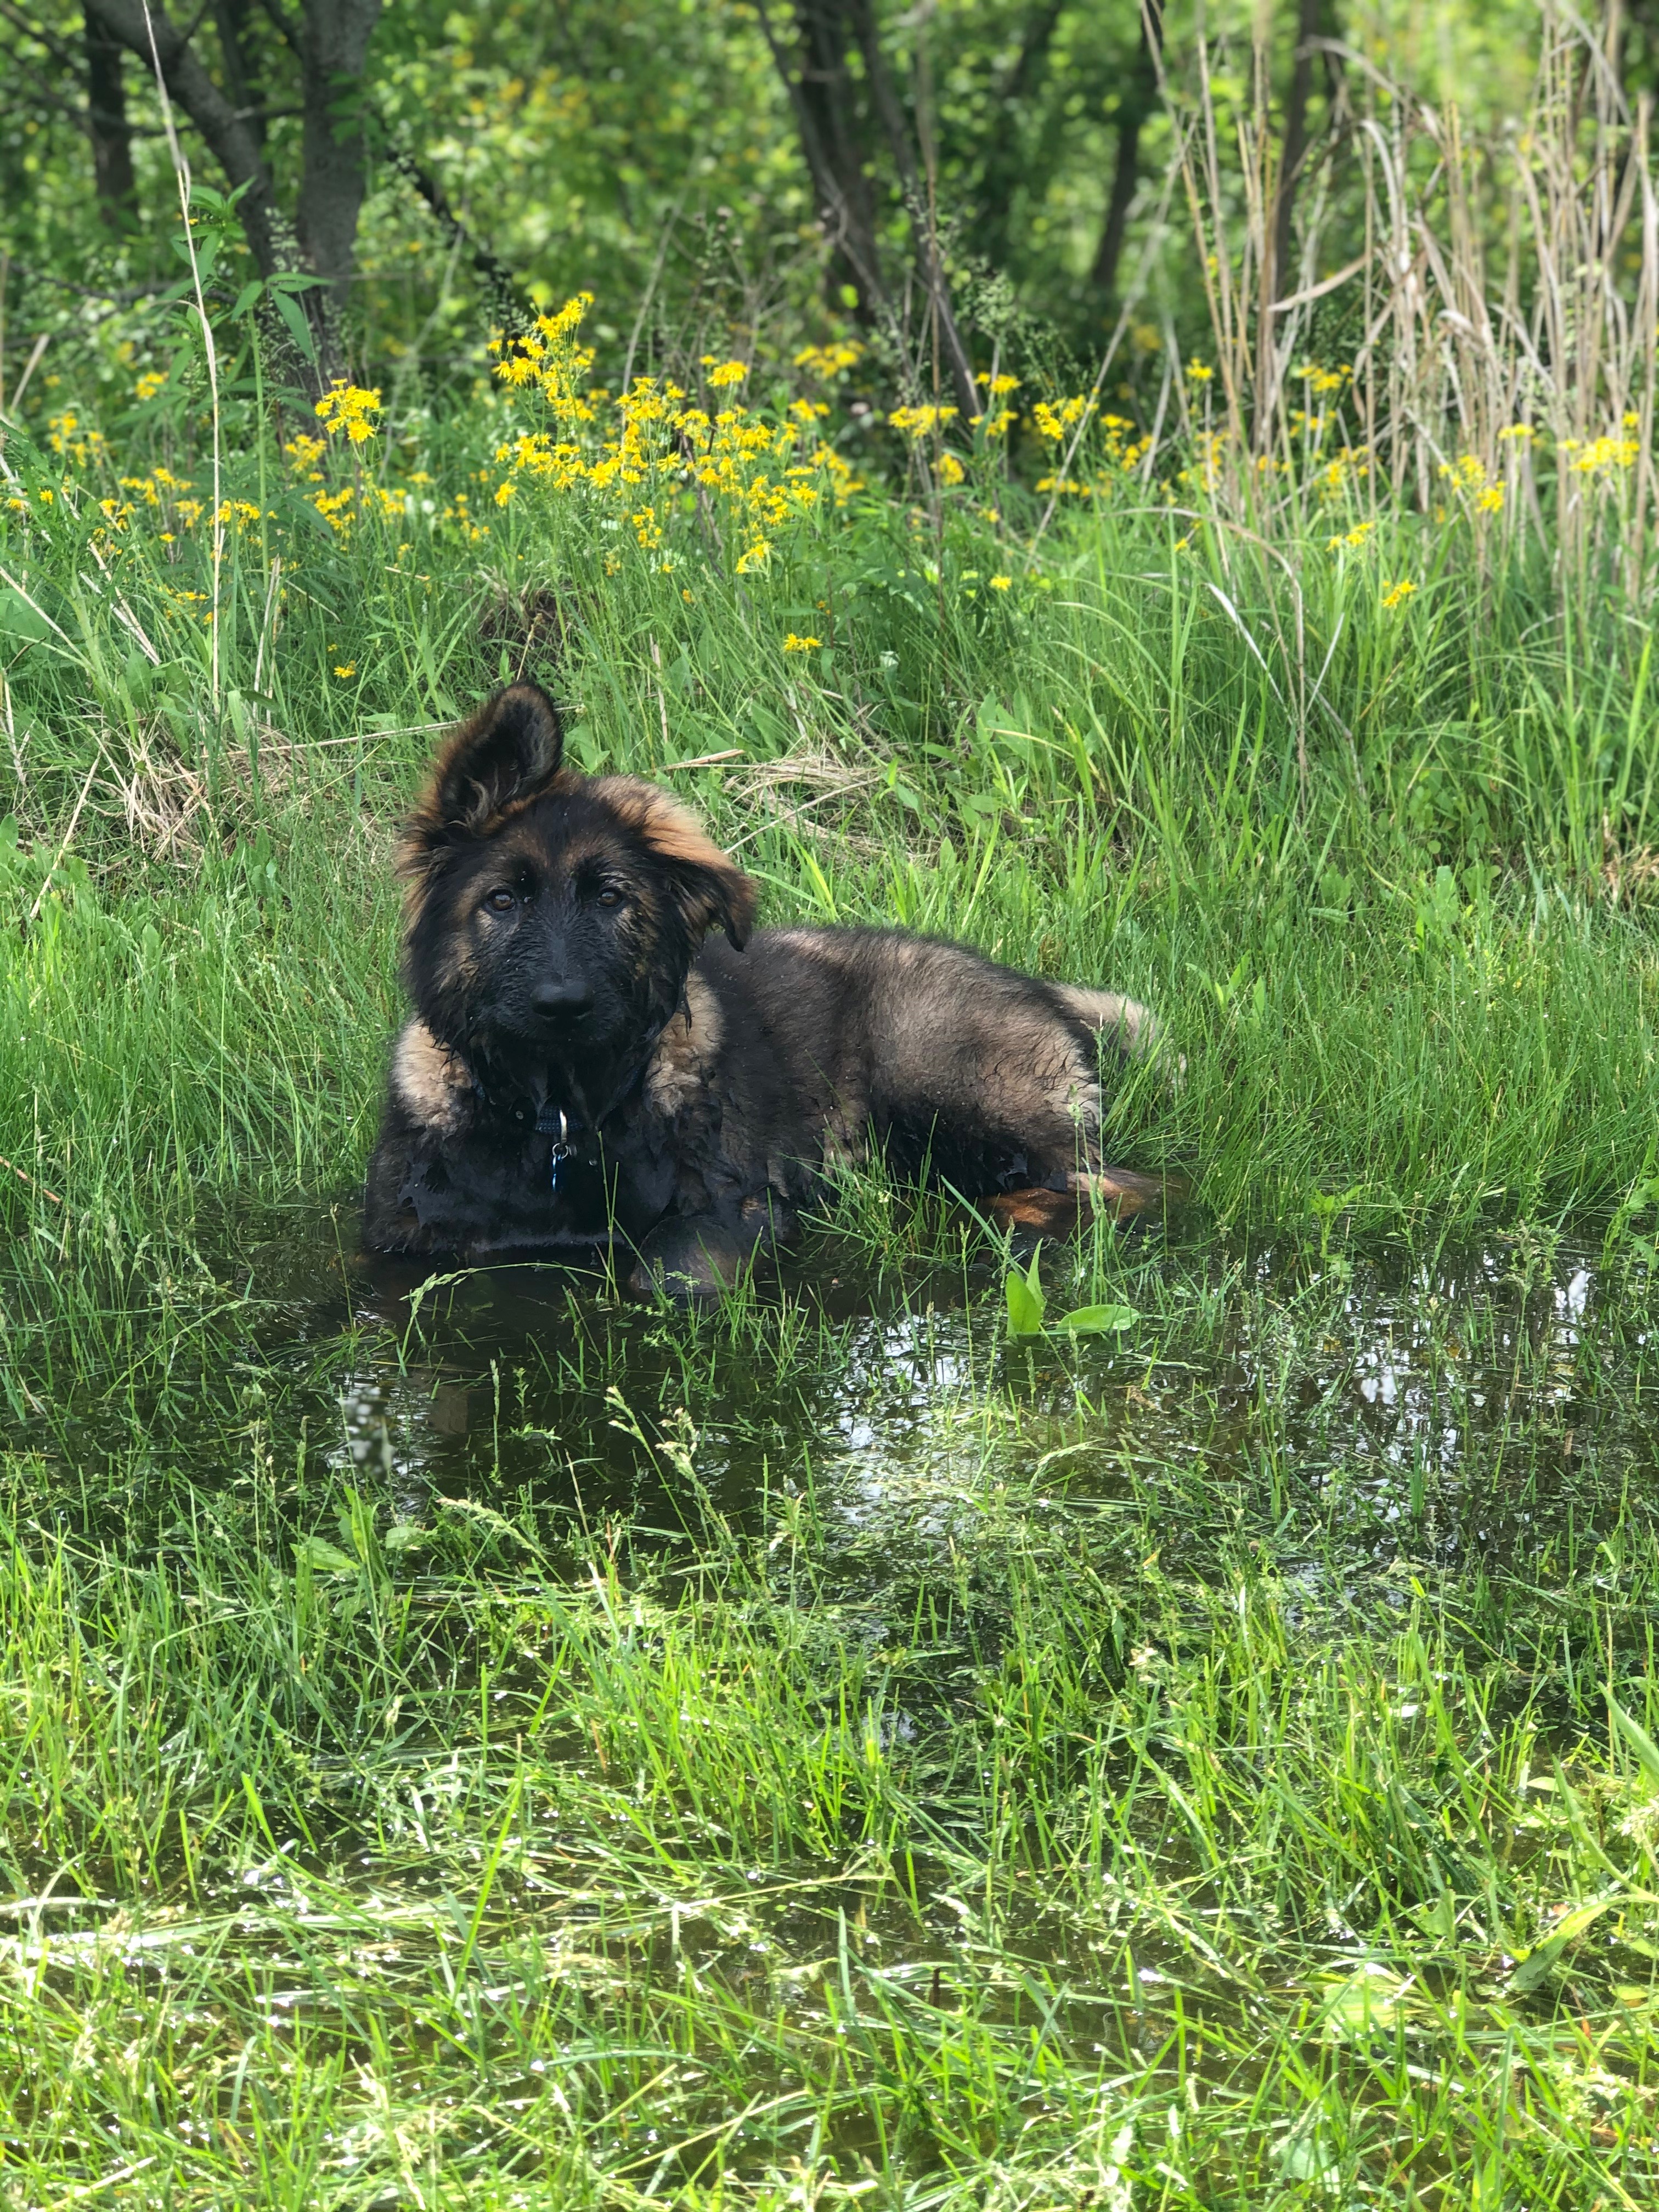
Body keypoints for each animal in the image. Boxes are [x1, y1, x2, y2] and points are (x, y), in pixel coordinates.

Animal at [363, 681, 1167, 1291]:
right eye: (502, 900)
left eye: (611, 899)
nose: (562, 1006)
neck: (558, 1122)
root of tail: (1048, 995)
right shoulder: (402, 1237)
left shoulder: (736, 1208)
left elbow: (668, 1272)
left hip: (946, 1088)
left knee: (1117, 1186)